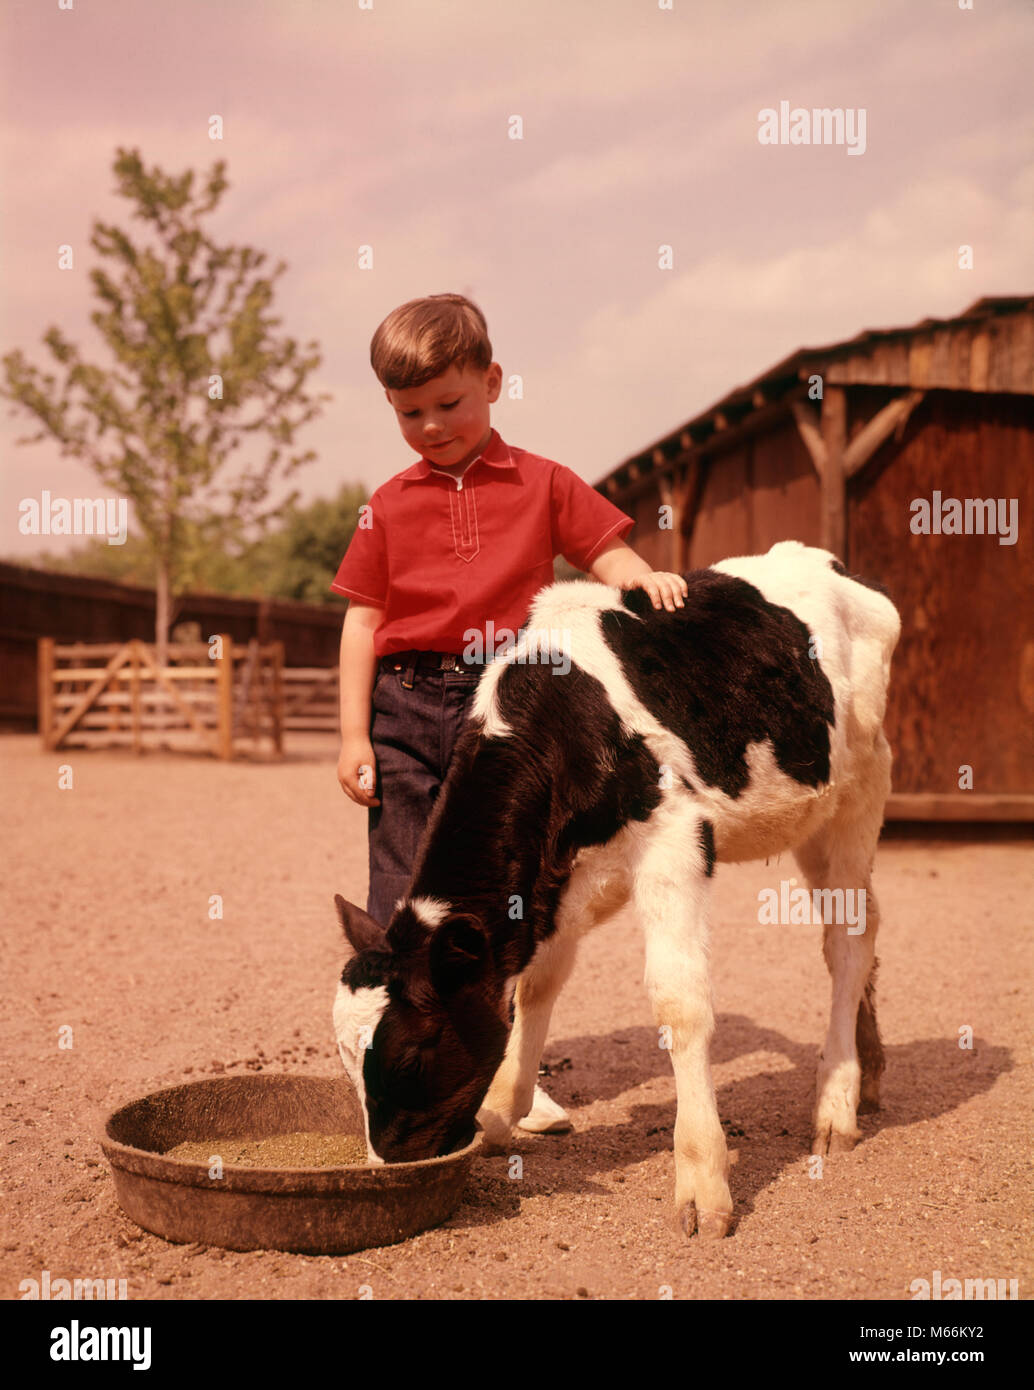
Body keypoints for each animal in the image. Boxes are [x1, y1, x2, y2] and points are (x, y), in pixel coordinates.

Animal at [334, 539, 900, 1239]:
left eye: (412, 1057)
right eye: (345, 1064)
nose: (389, 1169)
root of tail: (827, 562)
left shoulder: (675, 840)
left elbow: (680, 1004)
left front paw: (702, 1182)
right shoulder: (552, 884)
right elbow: (534, 987)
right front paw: (501, 1112)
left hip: (860, 793)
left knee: (848, 941)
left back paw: (835, 1103)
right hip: (813, 820)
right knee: (859, 930)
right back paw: (868, 1074)